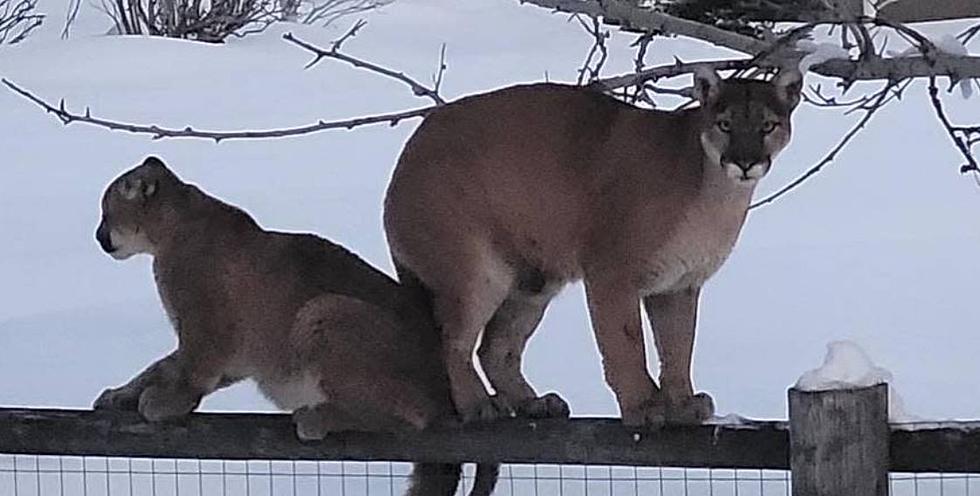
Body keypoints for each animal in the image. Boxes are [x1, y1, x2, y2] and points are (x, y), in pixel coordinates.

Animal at [93, 157, 498, 496]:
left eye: (105, 213)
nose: (99, 237)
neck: (174, 227)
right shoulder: (233, 354)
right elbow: (161, 366)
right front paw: (120, 395)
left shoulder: (207, 326)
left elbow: (190, 370)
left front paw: (166, 402)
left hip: (323, 312)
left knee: (415, 415)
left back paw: (316, 416)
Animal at [382, 69, 804, 426]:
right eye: (725, 124)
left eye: (767, 125)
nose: (745, 162)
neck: (714, 191)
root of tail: (405, 157)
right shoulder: (612, 272)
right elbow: (625, 342)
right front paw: (644, 407)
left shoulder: (679, 285)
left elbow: (678, 345)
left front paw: (683, 404)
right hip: (476, 270)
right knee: (451, 338)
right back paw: (478, 405)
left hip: (533, 280)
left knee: (495, 348)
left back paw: (533, 403)